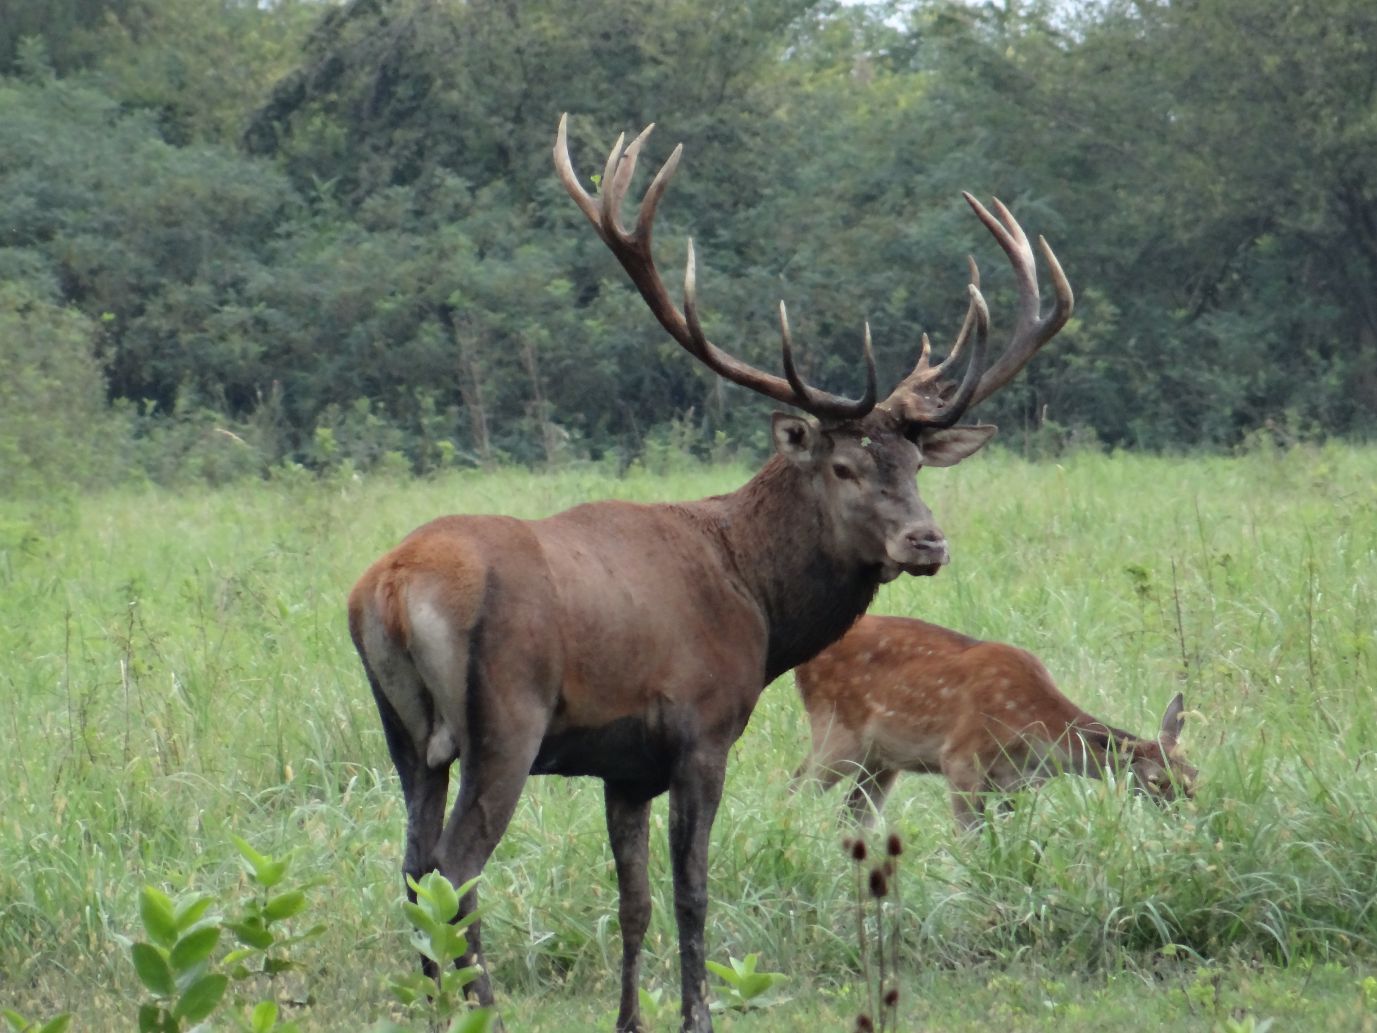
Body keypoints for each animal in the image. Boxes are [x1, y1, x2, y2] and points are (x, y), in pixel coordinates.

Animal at [347, 117, 1074, 1030]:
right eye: (842, 465)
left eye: (913, 462)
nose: (925, 541)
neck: (756, 601)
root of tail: (390, 588)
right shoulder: (701, 728)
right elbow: (691, 889)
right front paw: (699, 1011)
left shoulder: (623, 767)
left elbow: (632, 900)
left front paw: (630, 1018)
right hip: (504, 717)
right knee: (455, 864)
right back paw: (481, 1006)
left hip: (404, 731)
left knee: (411, 863)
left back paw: (435, 1003)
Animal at [793, 614, 1200, 831]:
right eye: (1156, 780)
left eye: (1194, 772)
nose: (1189, 816)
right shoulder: (960, 759)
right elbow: (969, 837)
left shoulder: (1015, 785)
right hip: (837, 731)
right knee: (796, 788)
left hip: (882, 760)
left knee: (852, 817)